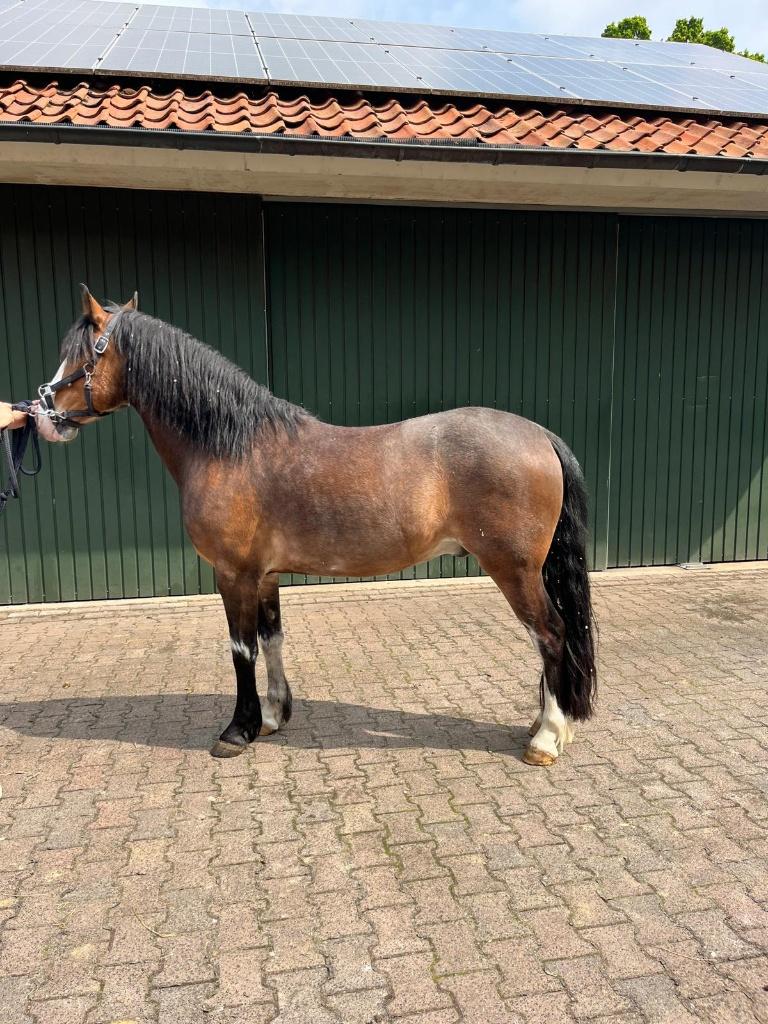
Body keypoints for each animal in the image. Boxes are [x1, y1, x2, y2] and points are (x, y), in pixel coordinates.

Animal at [37, 286, 597, 766]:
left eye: (81, 355)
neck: (231, 447)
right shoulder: (264, 576)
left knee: (551, 634)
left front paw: (236, 731)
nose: (42, 413)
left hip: (514, 570)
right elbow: (272, 640)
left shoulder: (232, 574)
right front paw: (271, 717)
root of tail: (539, 434)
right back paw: (542, 725)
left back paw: (547, 737)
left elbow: (241, 650)